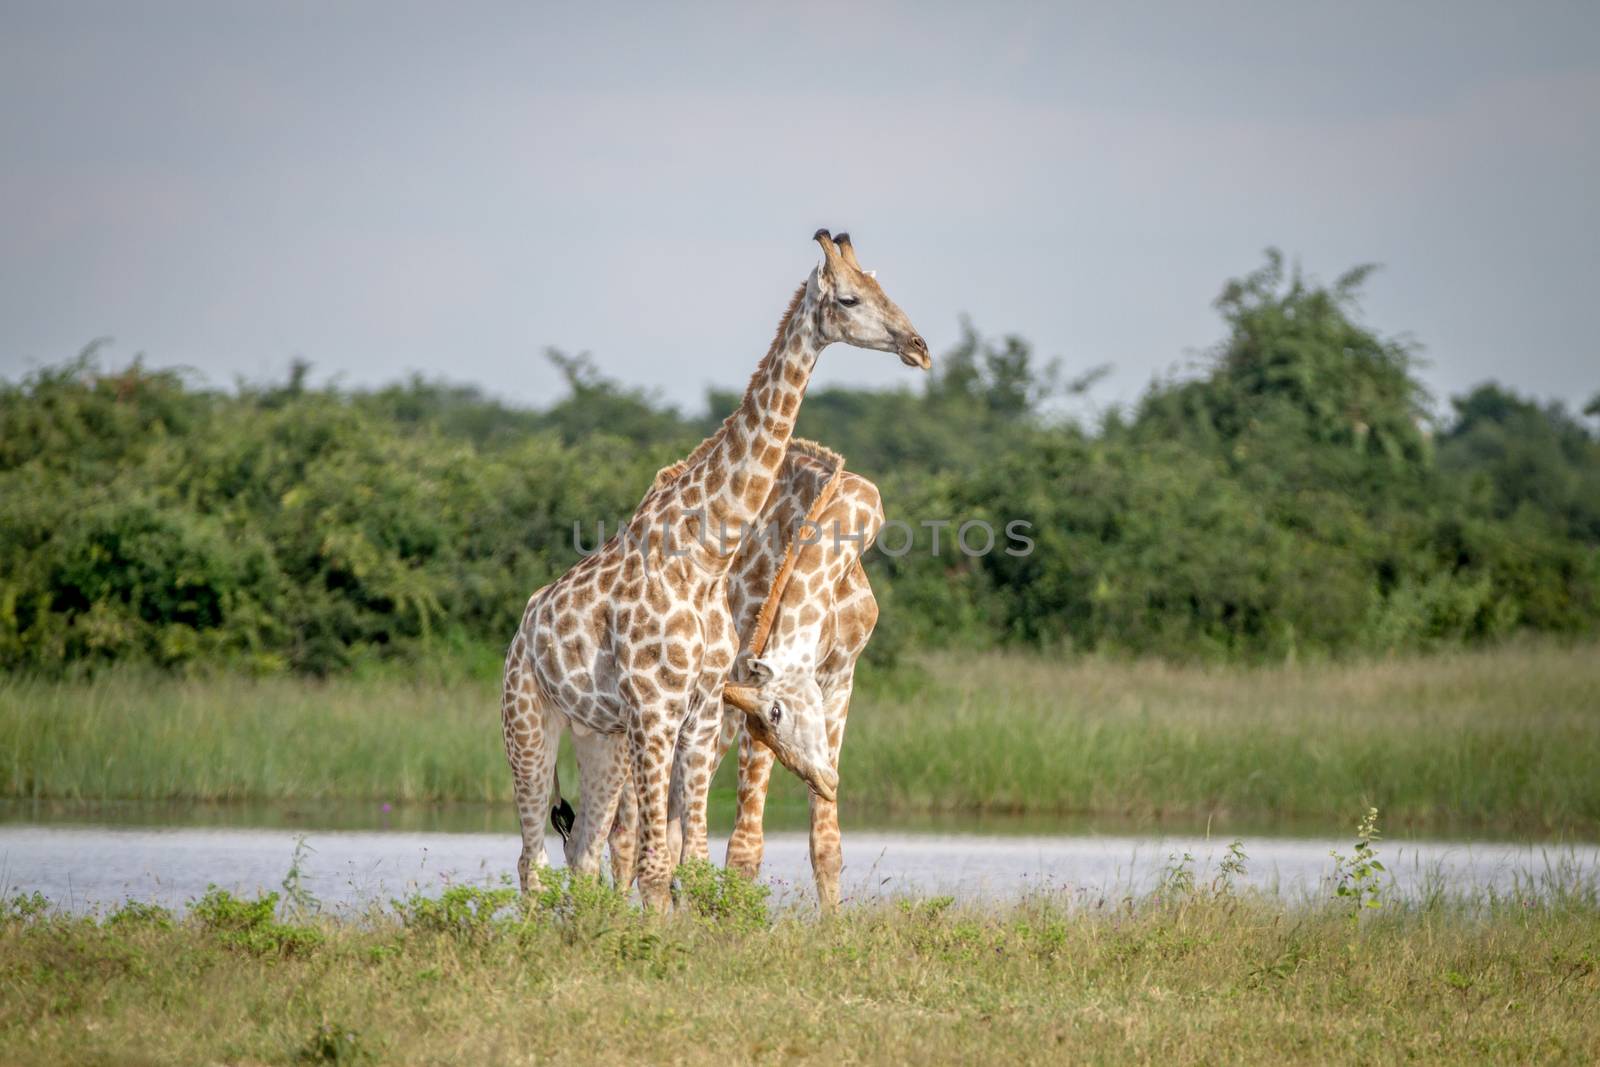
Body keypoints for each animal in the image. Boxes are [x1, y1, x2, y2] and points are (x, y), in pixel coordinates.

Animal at [499, 227, 928, 908]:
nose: (919, 347)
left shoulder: (740, 703)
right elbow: (690, 860)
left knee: (586, 852)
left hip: (601, 736)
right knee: (547, 857)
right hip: (531, 724)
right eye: (850, 298)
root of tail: (524, 628)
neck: (703, 555)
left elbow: (711, 859)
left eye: (884, 287)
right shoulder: (673, 707)